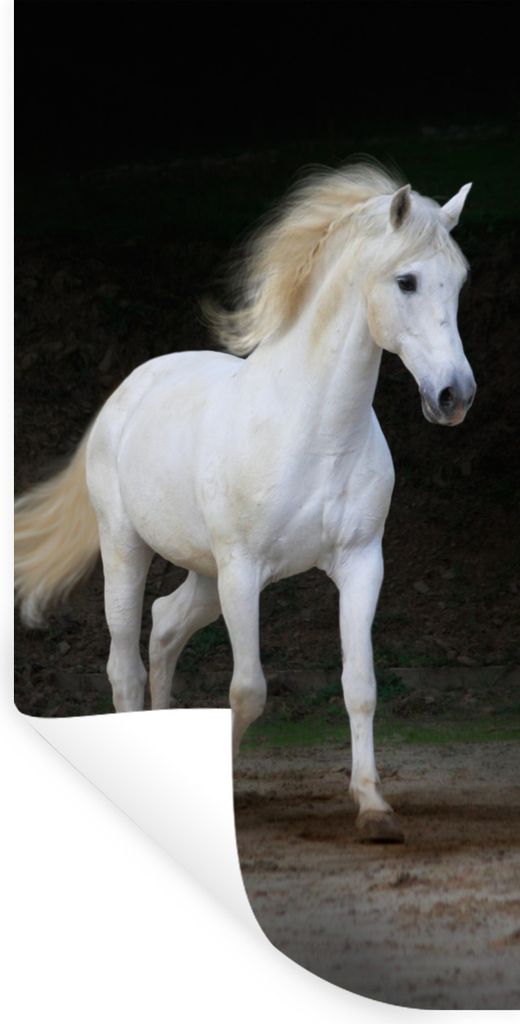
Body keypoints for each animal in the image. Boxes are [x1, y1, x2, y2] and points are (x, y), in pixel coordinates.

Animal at [15, 162, 475, 842]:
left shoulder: (362, 564)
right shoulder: (243, 571)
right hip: (126, 549)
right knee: (125, 664)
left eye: (460, 281)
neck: (315, 430)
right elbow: (249, 690)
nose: (454, 396)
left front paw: (373, 807)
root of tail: (129, 390)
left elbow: (360, 684)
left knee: (165, 626)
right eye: (407, 281)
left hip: (203, 576)